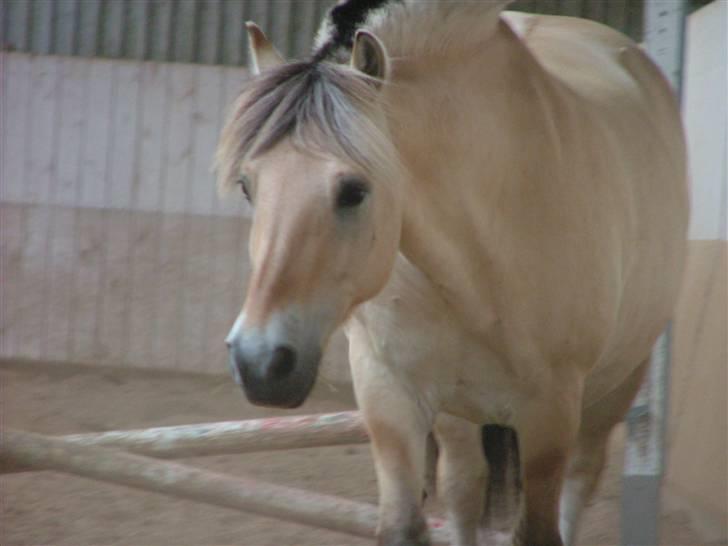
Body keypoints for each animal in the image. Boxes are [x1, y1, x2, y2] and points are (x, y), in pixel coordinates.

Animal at [218, 2, 688, 540]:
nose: (258, 362)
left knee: (581, 479)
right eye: (247, 186)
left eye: (354, 190)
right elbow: (407, 522)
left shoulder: (550, 415)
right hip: (457, 412)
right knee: (464, 487)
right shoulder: (388, 392)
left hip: (615, 387)